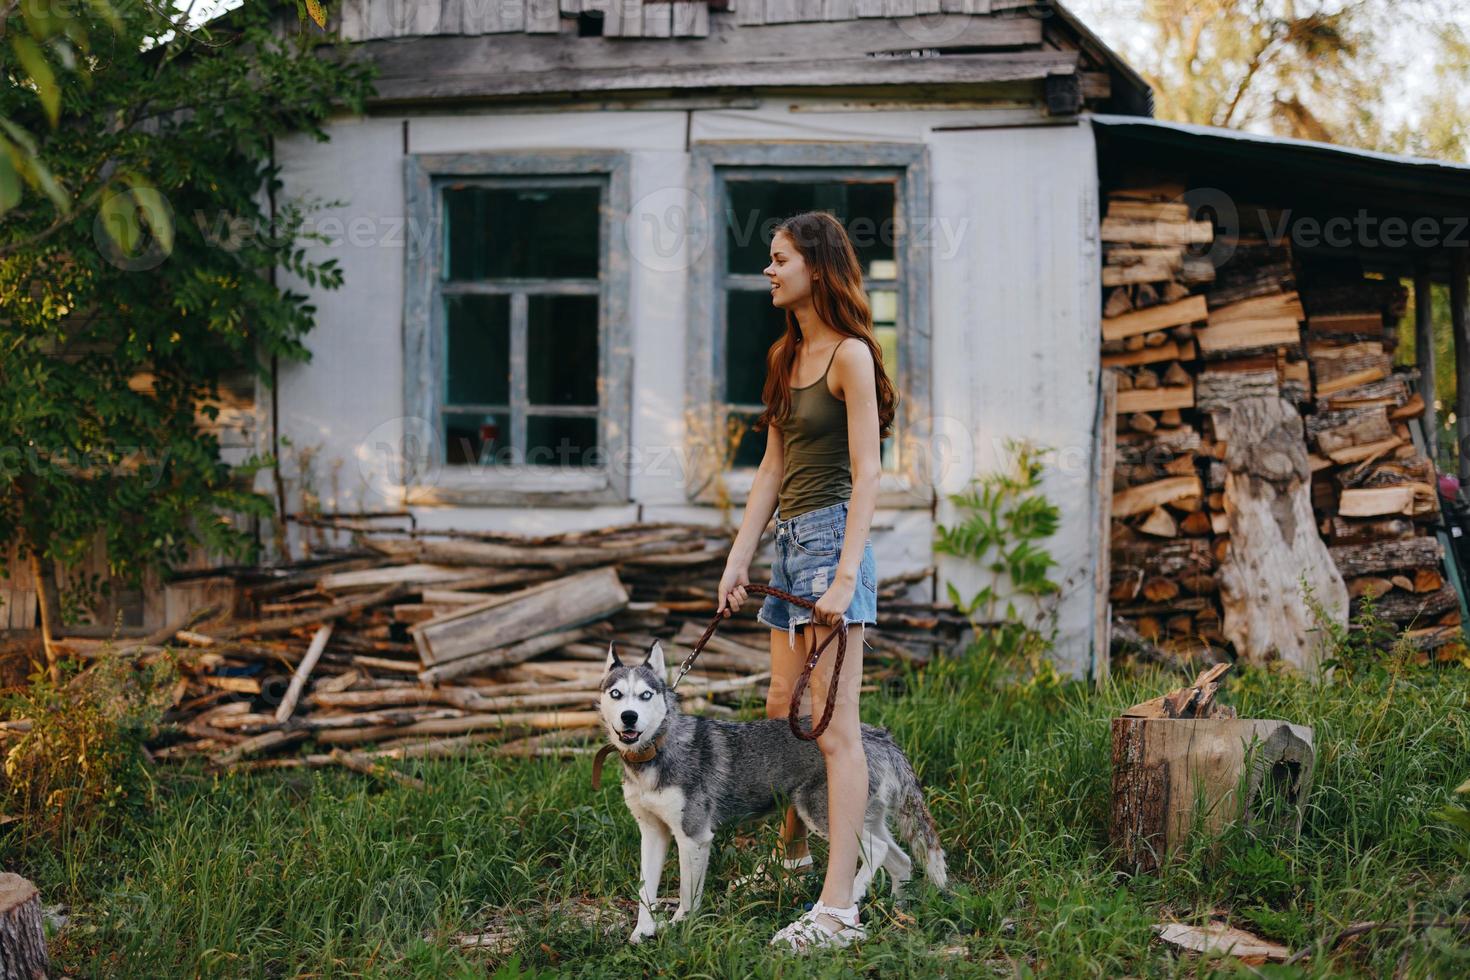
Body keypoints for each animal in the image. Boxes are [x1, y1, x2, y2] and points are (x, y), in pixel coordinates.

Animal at [593, 640, 946, 946]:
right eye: (616, 694)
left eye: (646, 695)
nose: (629, 717)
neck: (655, 753)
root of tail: (877, 735)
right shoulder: (653, 833)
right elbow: (645, 891)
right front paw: (642, 933)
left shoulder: (693, 837)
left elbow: (686, 895)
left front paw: (681, 928)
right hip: (865, 818)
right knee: (900, 859)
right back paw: (900, 912)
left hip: (821, 814)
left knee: (877, 850)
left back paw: (853, 898)